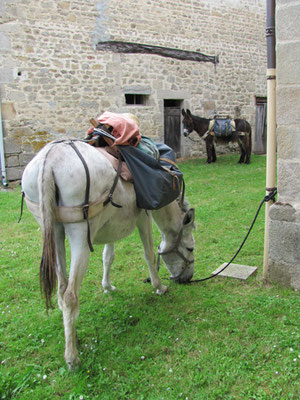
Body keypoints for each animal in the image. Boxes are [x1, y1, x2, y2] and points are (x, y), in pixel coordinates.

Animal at [20, 139, 195, 370]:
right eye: (190, 248)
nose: (189, 278)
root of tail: (51, 158)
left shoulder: (111, 227)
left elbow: (108, 256)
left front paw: (107, 286)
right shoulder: (144, 219)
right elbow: (149, 254)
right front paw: (159, 287)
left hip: (52, 233)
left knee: (61, 290)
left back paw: (73, 337)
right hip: (79, 237)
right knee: (70, 296)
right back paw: (72, 358)